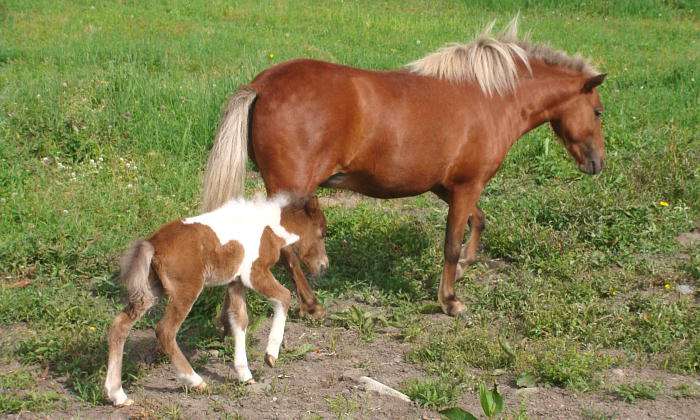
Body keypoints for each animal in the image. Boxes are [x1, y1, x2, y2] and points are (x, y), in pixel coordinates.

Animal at [104, 195, 324, 406]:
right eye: (322, 233)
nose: (323, 265)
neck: (269, 225)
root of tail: (152, 245)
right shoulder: (255, 273)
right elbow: (285, 296)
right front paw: (271, 356)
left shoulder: (236, 281)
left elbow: (239, 320)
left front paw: (245, 375)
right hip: (186, 290)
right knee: (165, 330)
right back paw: (196, 382)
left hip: (149, 292)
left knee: (119, 326)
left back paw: (118, 396)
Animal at [201, 17, 606, 318]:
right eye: (599, 111)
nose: (597, 163)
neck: (491, 97)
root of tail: (261, 84)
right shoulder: (466, 185)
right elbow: (451, 243)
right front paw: (450, 300)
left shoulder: (448, 186)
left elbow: (478, 221)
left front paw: (466, 265)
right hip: (291, 194)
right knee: (284, 248)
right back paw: (311, 305)